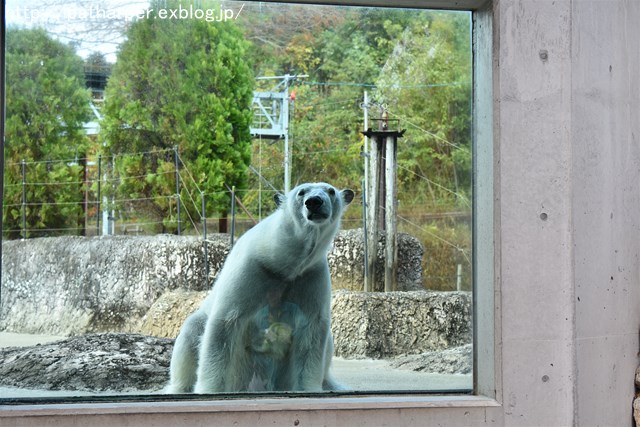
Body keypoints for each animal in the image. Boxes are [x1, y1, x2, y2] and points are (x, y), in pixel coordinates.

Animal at [166, 182, 356, 392]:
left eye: (330, 191)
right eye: (301, 192)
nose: (314, 202)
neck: (283, 262)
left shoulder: (309, 276)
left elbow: (311, 332)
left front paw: (307, 388)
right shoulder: (251, 269)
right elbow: (224, 325)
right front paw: (209, 390)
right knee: (192, 330)